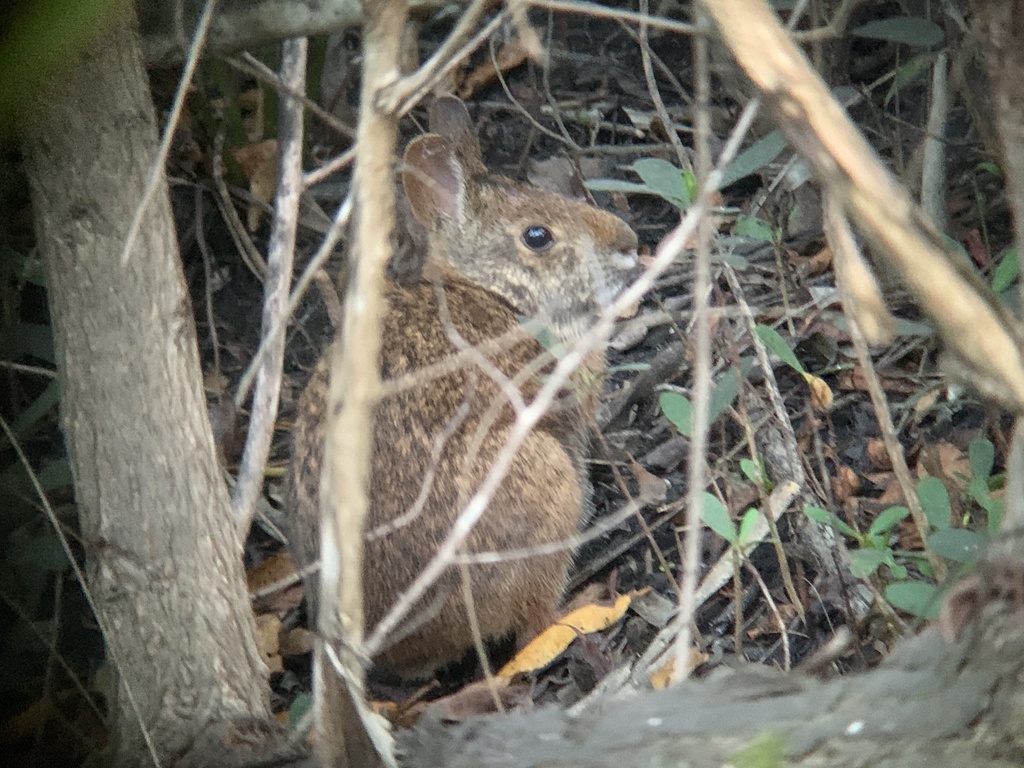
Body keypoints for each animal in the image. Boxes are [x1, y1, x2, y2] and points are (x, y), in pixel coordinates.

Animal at [286, 95, 639, 679]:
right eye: (537, 235)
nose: (627, 243)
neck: (496, 291)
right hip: (543, 486)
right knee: (535, 622)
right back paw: (585, 605)